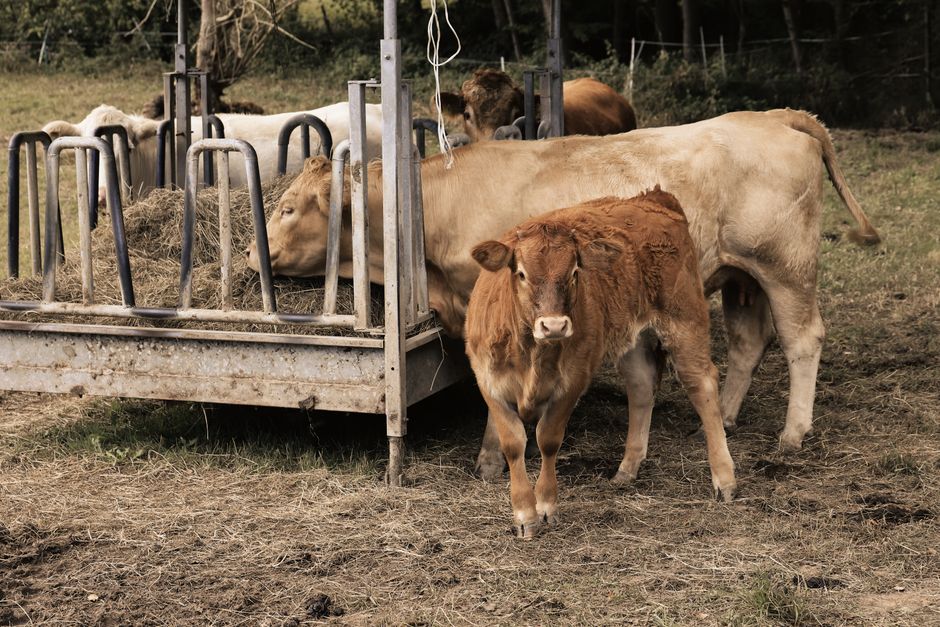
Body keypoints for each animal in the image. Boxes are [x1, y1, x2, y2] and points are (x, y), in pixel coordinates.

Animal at [247, 108, 880, 477]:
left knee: (803, 340)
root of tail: (774, 116)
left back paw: (793, 434)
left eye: (288, 207)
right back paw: (725, 414)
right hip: (740, 276)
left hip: (786, 268)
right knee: (750, 342)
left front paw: (491, 457)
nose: (253, 253)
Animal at [465, 191, 736, 537]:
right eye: (522, 273)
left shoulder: (572, 381)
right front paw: (524, 514)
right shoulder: (489, 382)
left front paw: (546, 506)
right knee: (641, 387)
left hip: (684, 320)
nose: (554, 326)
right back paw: (627, 468)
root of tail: (653, 199)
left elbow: (548, 439)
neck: (533, 354)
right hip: (634, 339)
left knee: (702, 385)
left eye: (574, 272)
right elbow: (513, 445)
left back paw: (724, 479)